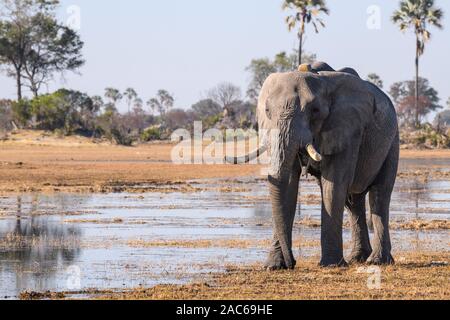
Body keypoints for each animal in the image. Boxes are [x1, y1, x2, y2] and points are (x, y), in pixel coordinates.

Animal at [227, 61, 400, 268]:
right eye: (267, 111)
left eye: (315, 111)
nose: (292, 262)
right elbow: (289, 183)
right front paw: (274, 266)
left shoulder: (347, 129)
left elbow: (333, 185)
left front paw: (331, 265)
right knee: (353, 200)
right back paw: (357, 258)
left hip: (392, 141)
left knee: (380, 195)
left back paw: (377, 261)